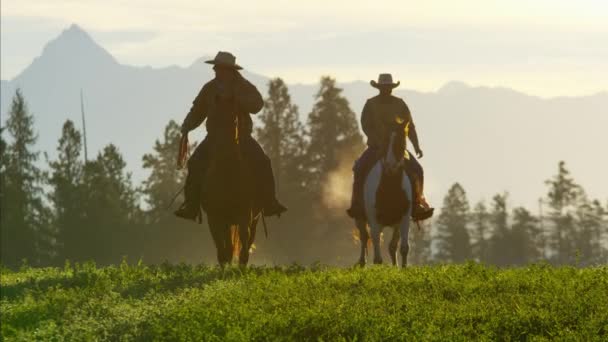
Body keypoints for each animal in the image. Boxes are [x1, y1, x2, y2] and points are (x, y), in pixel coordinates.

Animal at [202, 113, 262, 266]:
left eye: (234, 121)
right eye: (211, 121)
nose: (224, 149)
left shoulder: (245, 215)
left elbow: (244, 243)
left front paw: (241, 265)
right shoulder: (214, 218)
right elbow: (221, 248)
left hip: (254, 219)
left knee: (248, 239)